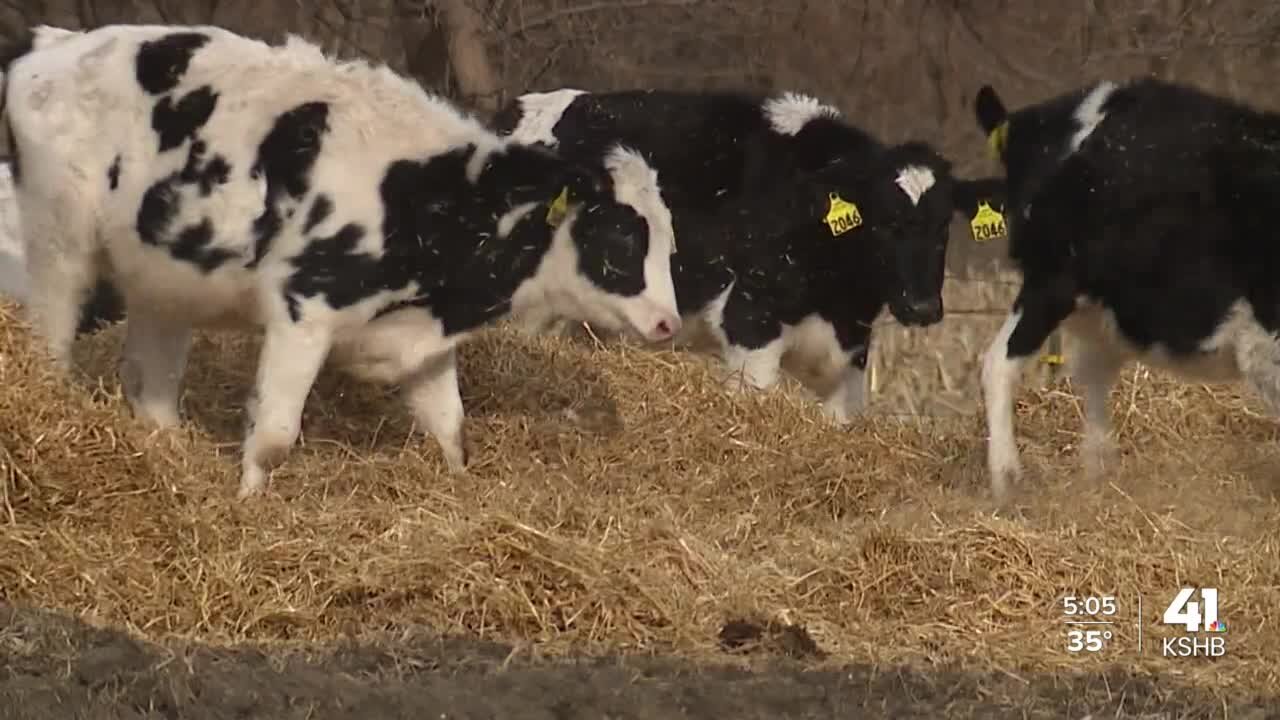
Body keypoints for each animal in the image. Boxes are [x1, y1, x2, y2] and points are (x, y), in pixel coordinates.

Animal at [0, 25, 680, 497]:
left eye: (670, 239)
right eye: (620, 238)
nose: (667, 323)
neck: (427, 198)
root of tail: (53, 44)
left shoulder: (422, 333)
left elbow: (451, 426)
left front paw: (463, 492)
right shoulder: (304, 310)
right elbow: (274, 438)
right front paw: (248, 507)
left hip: (164, 278)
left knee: (154, 386)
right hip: (58, 242)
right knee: (50, 345)